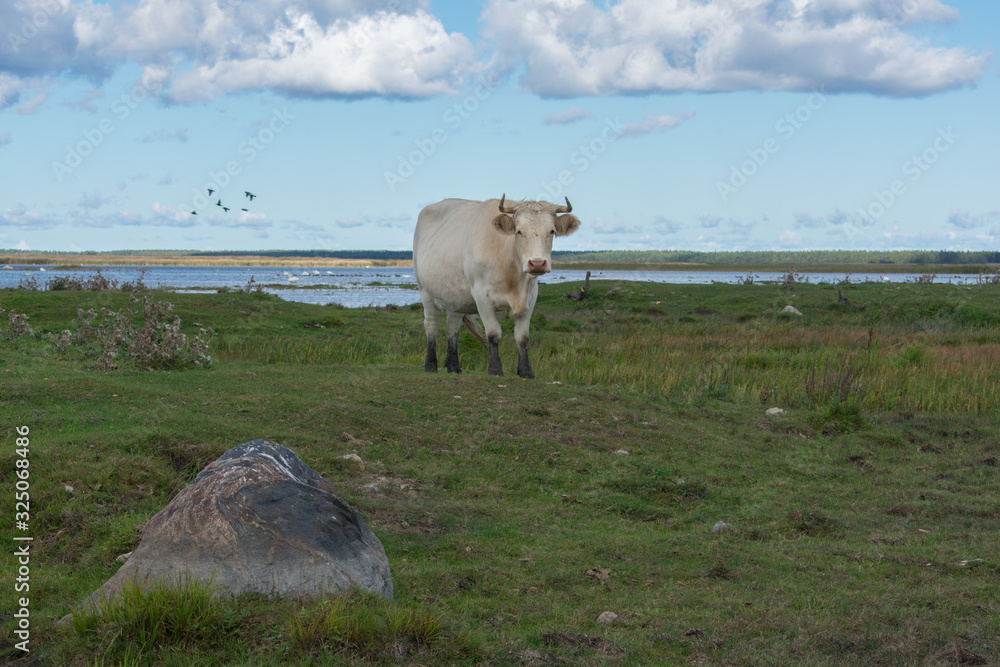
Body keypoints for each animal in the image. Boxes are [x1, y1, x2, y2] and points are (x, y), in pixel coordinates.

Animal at [413, 195, 580, 378]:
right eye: (519, 231)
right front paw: (495, 369)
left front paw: (526, 371)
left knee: (452, 327)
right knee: (431, 325)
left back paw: (454, 367)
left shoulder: (531, 296)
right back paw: (430, 365)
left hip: (455, 298)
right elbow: (493, 333)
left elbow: (523, 336)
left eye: (552, 231)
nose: (537, 263)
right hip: (424, 291)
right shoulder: (481, 295)